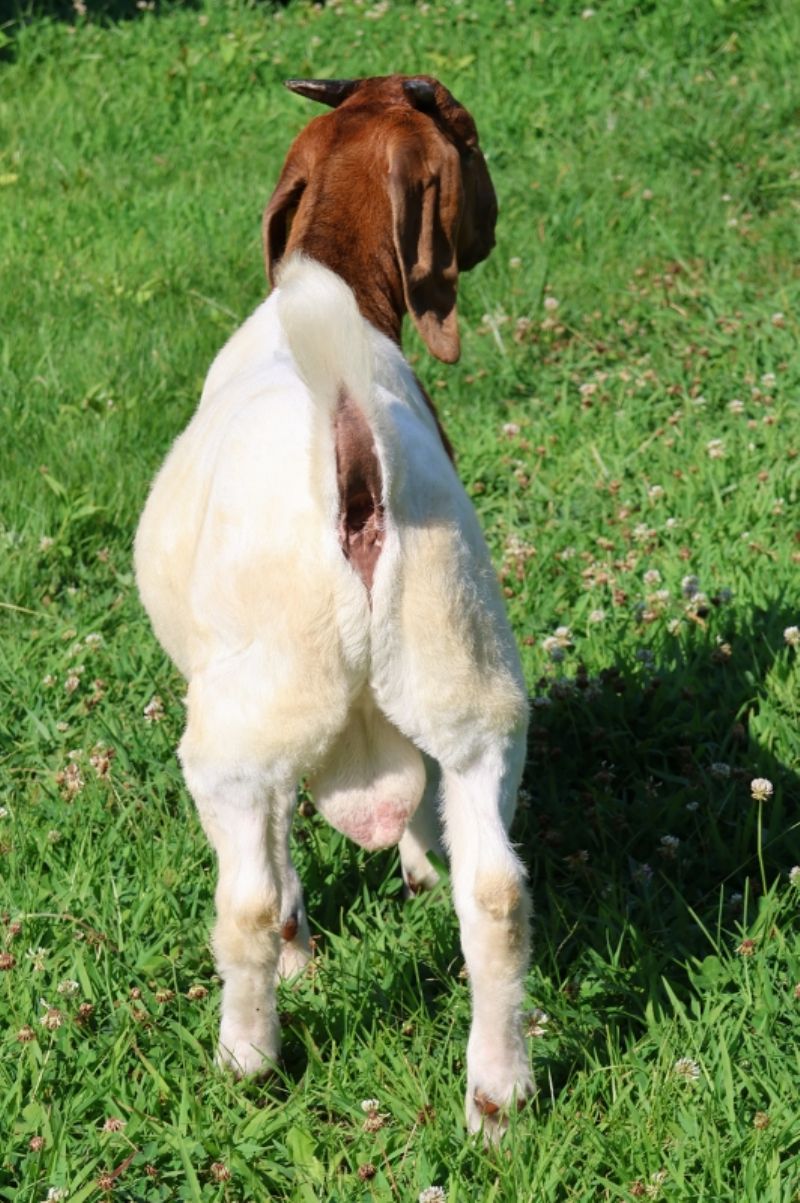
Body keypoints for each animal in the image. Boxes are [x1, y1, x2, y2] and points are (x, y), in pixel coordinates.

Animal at [134, 74, 532, 1137]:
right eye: (469, 135)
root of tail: (355, 460)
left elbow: (275, 878)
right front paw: (417, 868)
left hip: (237, 733)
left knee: (245, 901)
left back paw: (247, 1059)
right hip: (471, 683)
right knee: (494, 893)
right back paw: (497, 1095)